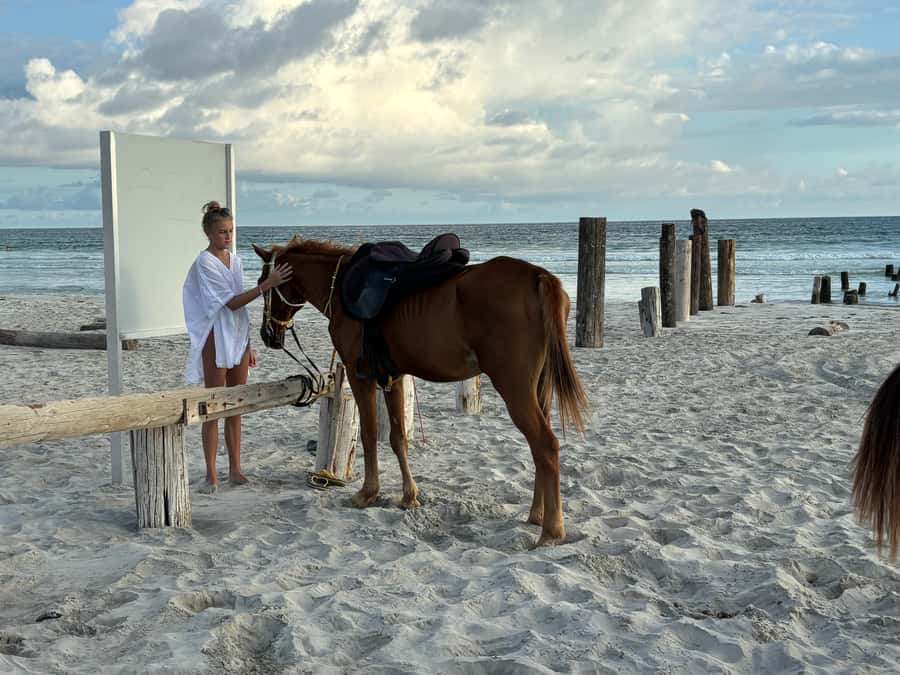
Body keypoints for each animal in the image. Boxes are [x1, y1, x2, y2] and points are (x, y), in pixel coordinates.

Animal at [252, 237, 589, 546]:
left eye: (263, 283)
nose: (268, 335)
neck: (342, 285)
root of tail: (538, 276)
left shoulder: (362, 377)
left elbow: (369, 434)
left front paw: (368, 493)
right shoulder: (394, 376)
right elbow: (398, 437)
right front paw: (408, 496)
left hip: (515, 388)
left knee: (546, 445)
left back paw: (551, 530)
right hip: (539, 389)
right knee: (539, 450)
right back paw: (536, 514)